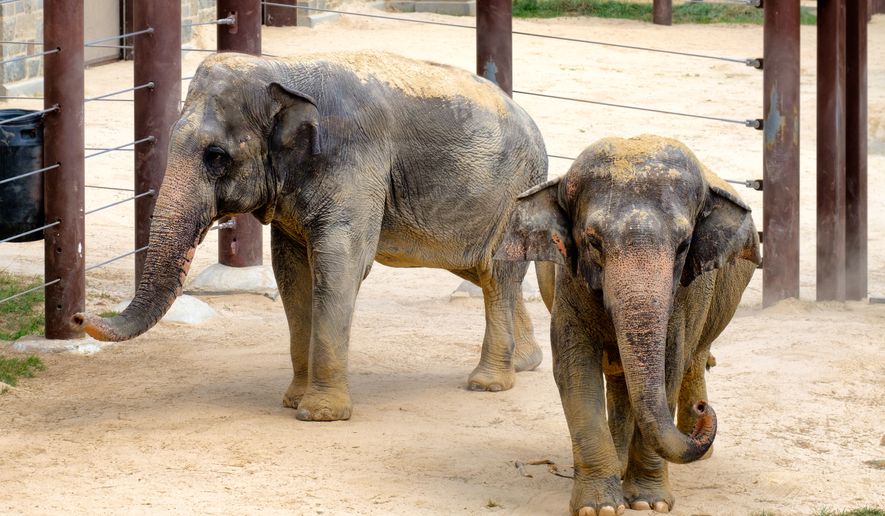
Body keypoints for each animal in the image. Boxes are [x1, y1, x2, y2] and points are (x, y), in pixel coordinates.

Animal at [72, 51, 552, 421]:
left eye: (216, 156)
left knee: (496, 275)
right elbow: (291, 275)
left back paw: (488, 384)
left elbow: (340, 267)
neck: (282, 69)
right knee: (482, 272)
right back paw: (524, 363)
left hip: (513, 193)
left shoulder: (356, 163)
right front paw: (292, 402)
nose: (77, 317)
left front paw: (320, 414)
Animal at [495, 135, 760, 515]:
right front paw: (599, 508)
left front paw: (650, 503)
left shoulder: (688, 292)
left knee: (692, 361)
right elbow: (574, 367)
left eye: (683, 245)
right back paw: (624, 464)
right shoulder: (569, 282)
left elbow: (670, 366)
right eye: (593, 241)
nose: (704, 412)